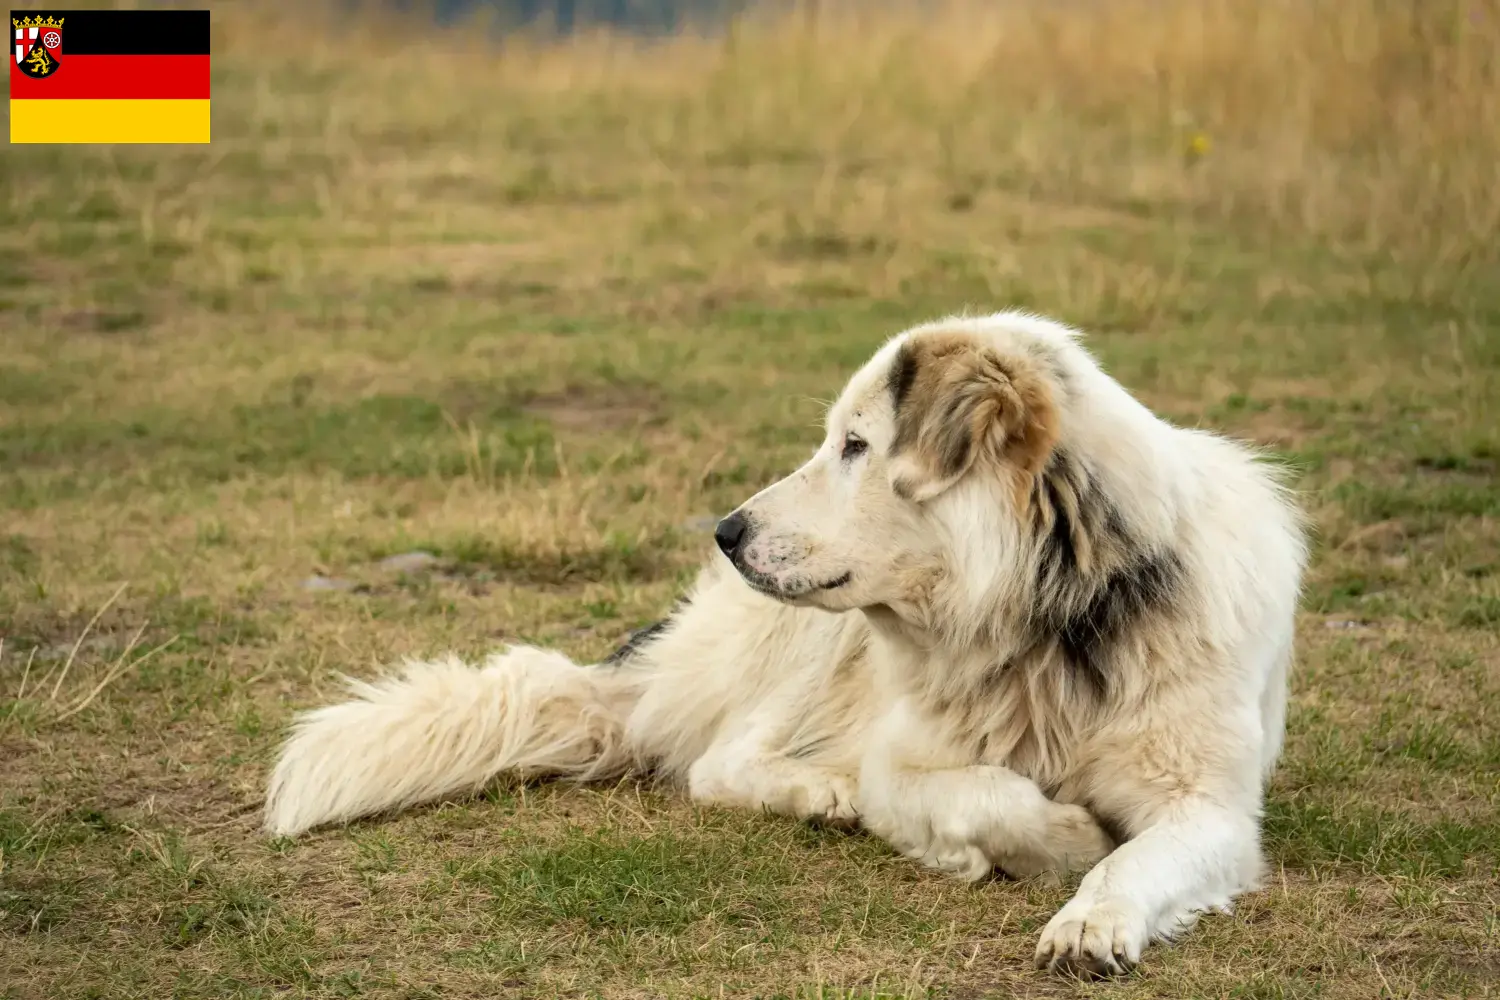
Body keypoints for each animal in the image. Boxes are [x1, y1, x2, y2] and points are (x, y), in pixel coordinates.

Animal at [264, 313, 1308, 977]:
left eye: (855, 446)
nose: (726, 532)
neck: (1050, 618)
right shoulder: (906, 761)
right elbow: (993, 798)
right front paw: (1064, 838)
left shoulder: (1211, 809)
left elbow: (1141, 858)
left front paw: (1093, 916)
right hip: (810, 645)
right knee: (718, 764)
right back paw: (820, 794)